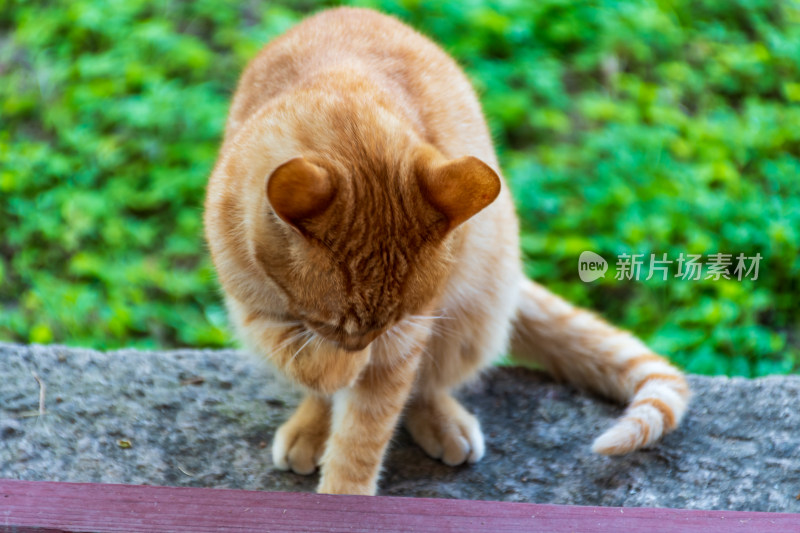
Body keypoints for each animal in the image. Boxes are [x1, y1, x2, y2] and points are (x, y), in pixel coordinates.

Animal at [203, 7, 692, 494]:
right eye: (333, 322)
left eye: (392, 320)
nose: (363, 346)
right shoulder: (251, 310)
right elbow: (303, 361)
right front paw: (334, 371)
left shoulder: (406, 338)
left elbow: (363, 436)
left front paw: (345, 490)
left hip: (473, 313)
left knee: (429, 385)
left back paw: (442, 424)